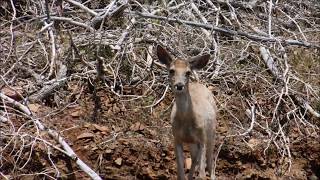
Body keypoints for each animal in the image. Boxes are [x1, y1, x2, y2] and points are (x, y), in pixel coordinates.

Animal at [157, 45, 218, 180]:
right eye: (171, 70)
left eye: (188, 72)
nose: (179, 85)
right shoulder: (177, 138)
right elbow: (180, 173)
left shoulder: (202, 138)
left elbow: (202, 174)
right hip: (192, 143)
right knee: (195, 158)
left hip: (211, 133)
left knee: (210, 161)